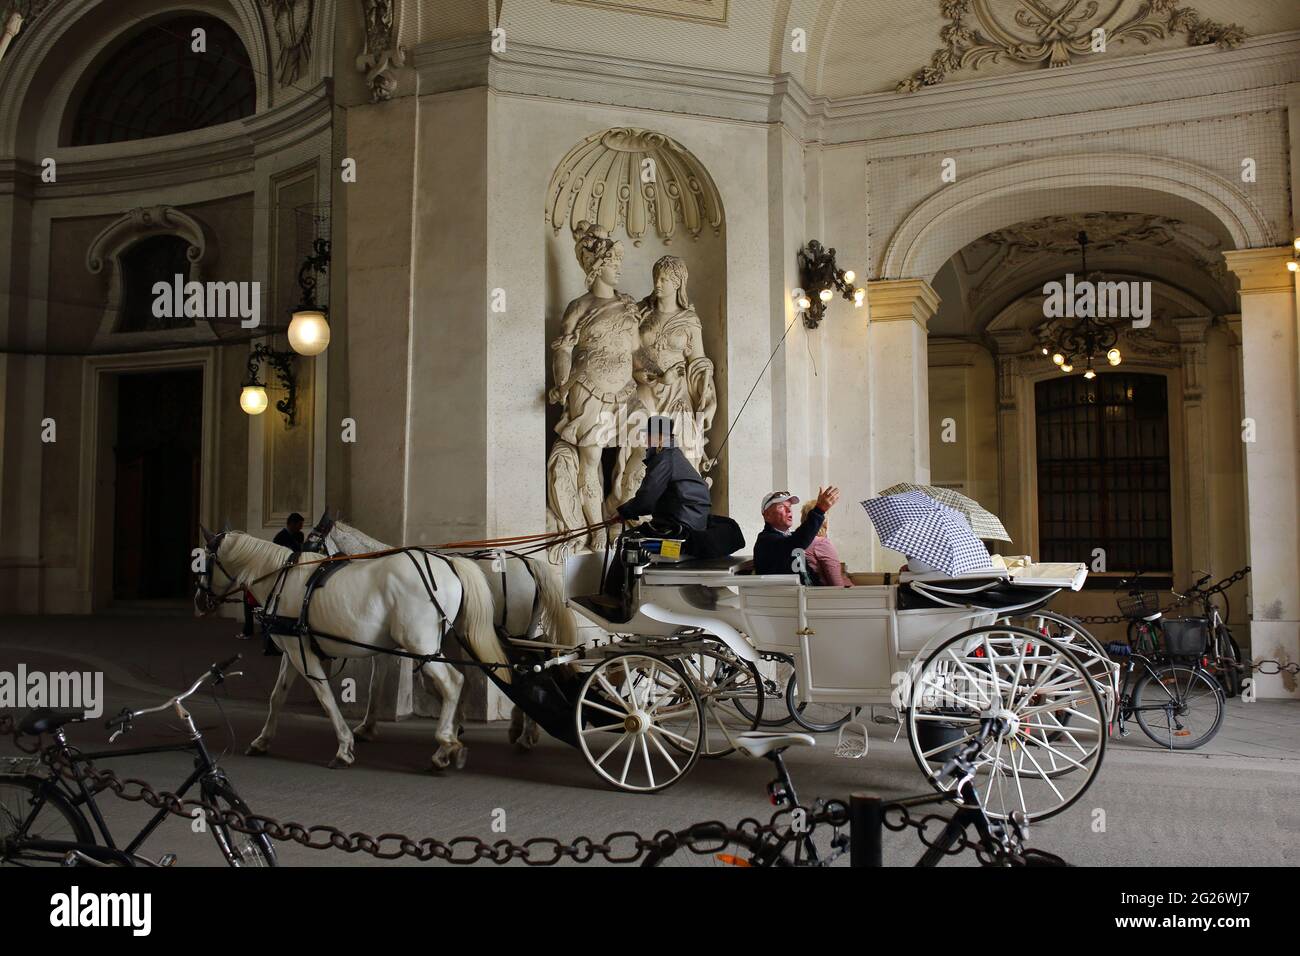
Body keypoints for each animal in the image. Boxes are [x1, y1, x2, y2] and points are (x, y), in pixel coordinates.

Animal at [197, 522, 501, 770]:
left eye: (202, 563)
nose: (199, 601)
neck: (280, 580)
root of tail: (448, 563)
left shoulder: (303, 653)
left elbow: (325, 696)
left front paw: (344, 746)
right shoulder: (293, 649)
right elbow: (277, 696)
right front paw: (262, 740)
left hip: (421, 645)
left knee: (452, 682)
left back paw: (444, 745)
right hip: (431, 647)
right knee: (457, 681)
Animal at [322, 520, 577, 749]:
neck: (376, 574)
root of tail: (529, 563)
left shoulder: (401, 646)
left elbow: (379, 684)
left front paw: (366, 727)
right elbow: (435, 682)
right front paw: (456, 721)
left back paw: (525, 733)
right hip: (525, 633)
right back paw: (521, 728)